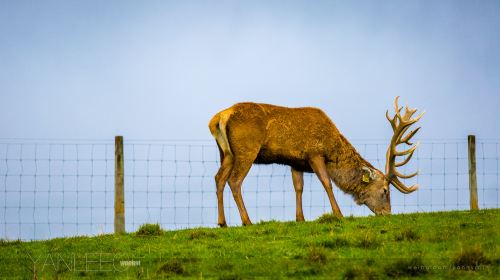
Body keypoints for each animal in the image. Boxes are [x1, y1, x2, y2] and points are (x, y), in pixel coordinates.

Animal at [209, 97, 424, 226]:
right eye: (385, 190)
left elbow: (298, 188)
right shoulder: (315, 154)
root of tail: (219, 117)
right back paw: (247, 221)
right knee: (234, 181)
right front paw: (338, 214)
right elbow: (327, 182)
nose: (387, 213)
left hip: (226, 154)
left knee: (219, 178)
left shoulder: (295, 162)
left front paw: (300, 218)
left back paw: (222, 222)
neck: (333, 150)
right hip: (247, 150)